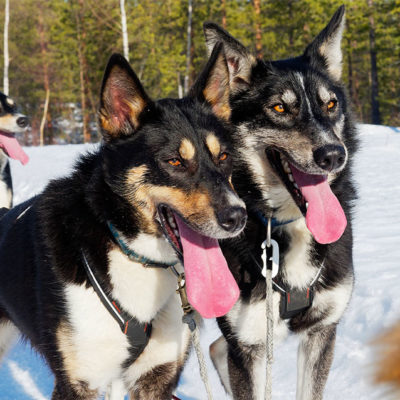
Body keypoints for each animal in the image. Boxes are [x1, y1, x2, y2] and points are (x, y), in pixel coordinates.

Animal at [0, 47, 247, 400]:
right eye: (174, 161)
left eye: (223, 156)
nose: (237, 216)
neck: (128, 251)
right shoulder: (79, 383)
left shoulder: (156, 377)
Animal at [203, 6, 360, 400]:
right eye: (279, 107)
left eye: (331, 104)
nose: (334, 155)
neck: (290, 225)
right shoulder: (248, 344)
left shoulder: (321, 331)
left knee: (214, 347)